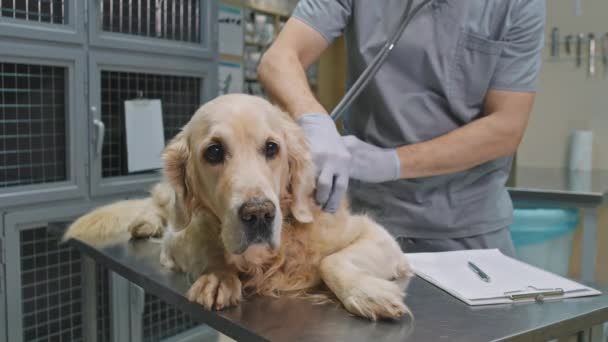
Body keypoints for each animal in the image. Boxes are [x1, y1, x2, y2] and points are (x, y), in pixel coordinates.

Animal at [64, 93, 410, 320]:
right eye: (214, 152)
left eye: (271, 148)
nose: (258, 213)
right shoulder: (178, 241)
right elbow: (206, 249)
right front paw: (219, 275)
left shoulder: (376, 236)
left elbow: (331, 261)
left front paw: (367, 293)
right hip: (170, 202)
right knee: (160, 207)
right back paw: (145, 222)